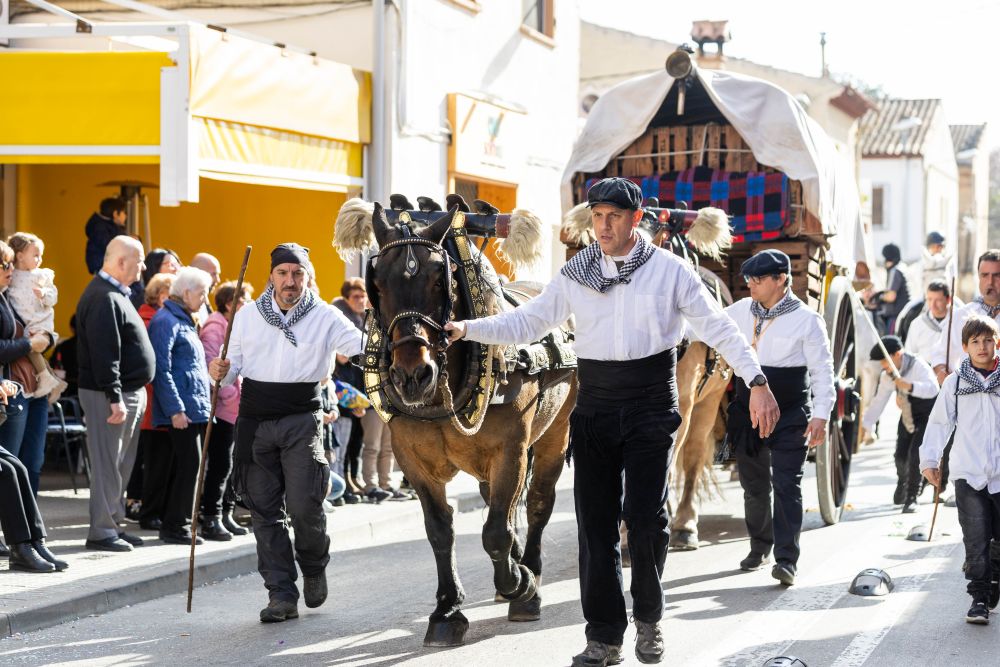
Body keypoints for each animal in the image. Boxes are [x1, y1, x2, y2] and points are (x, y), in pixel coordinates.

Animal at [364, 204, 576, 648]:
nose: (412, 375)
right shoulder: (412, 461)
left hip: (556, 433)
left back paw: (529, 574)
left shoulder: (511, 450)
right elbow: (440, 531)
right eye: (378, 284)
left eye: (438, 280)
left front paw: (520, 584)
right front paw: (447, 610)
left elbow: (496, 530)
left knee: (537, 503)